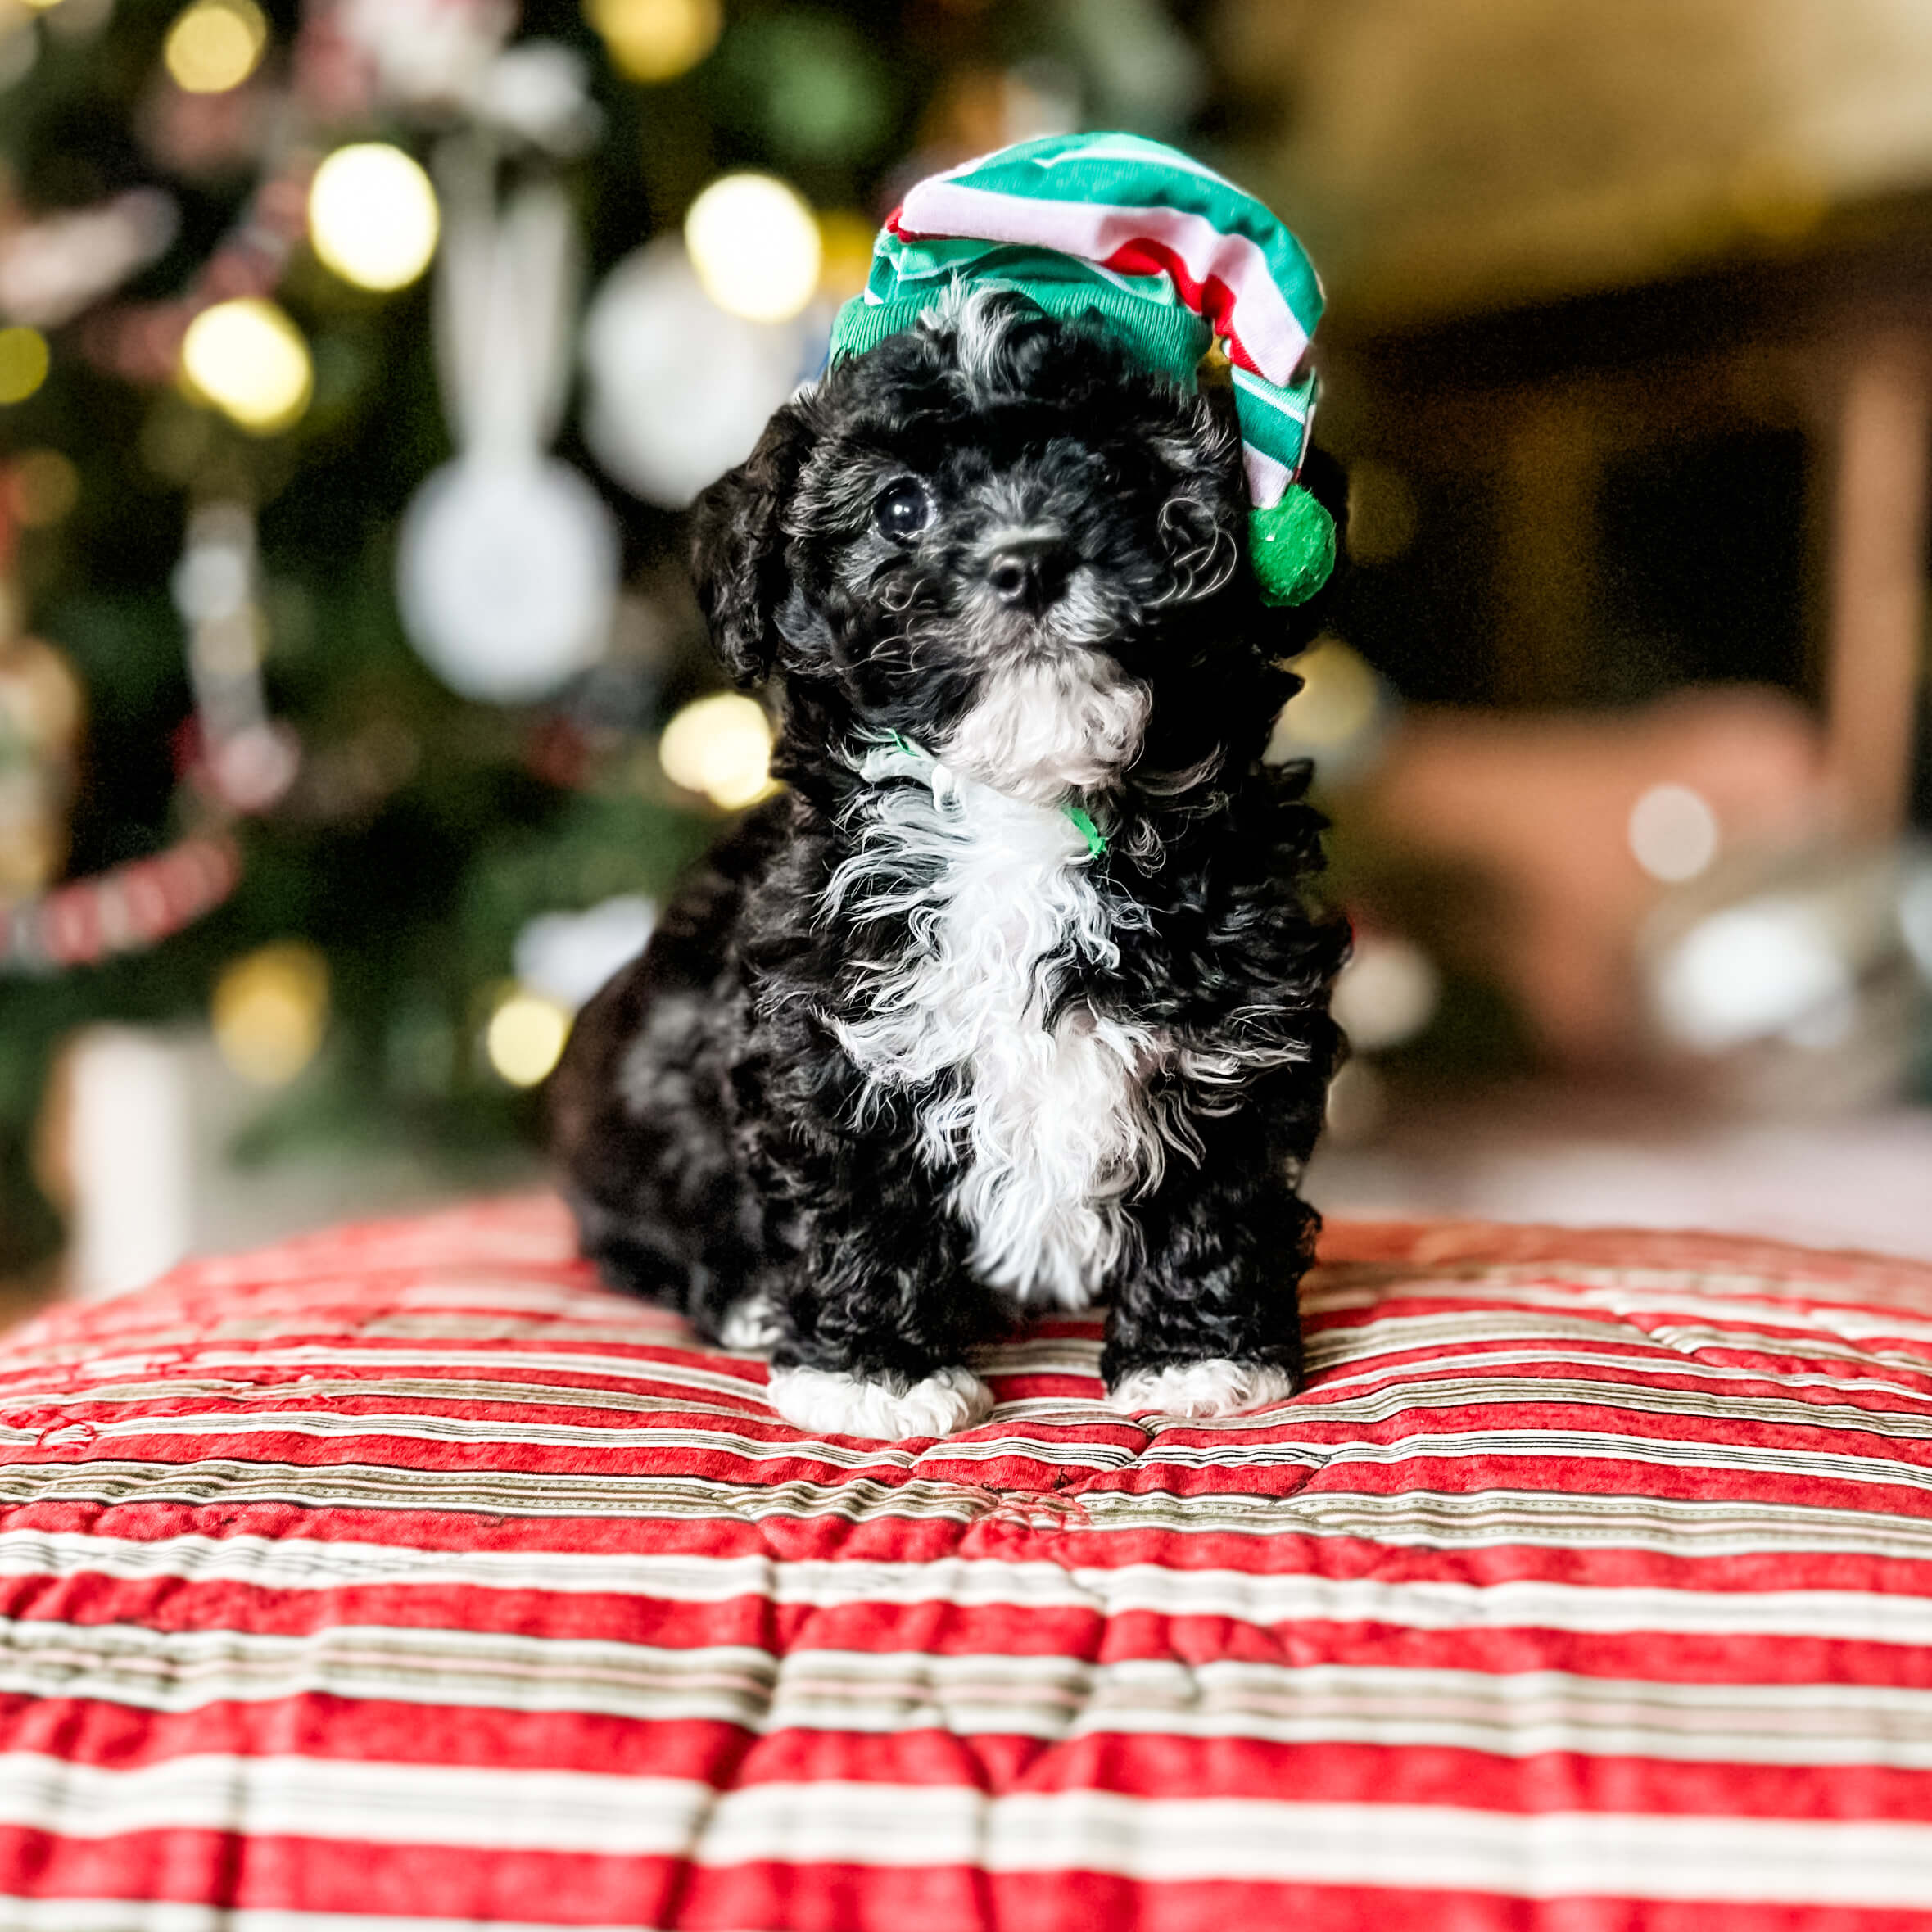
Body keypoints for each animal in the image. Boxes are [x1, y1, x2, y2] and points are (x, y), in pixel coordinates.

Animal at [552, 286, 1352, 1437]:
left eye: (1120, 470)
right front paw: (872, 1374)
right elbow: (853, 1193)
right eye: (900, 508)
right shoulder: (822, 1028)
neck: (1024, 810)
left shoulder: (1242, 1018)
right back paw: (748, 1298)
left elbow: (1219, 1188)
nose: (1030, 559)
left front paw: (1194, 1357)